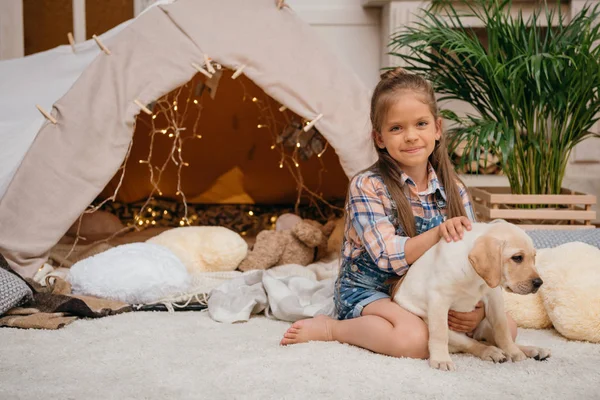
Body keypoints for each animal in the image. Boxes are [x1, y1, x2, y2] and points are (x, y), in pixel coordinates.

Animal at [392, 220, 552, 370]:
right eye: (517, 257)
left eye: (534, 257)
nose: (539, 282)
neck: (474, 276)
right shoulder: (439, 298)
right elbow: (439, 333)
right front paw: (441, 360)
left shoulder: (493, 296)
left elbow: (502, 328)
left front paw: (513, 351)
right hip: (446, 330)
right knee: (472, 344)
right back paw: (492, 352)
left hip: (484, 324)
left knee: (488, 339)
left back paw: (532, 350)